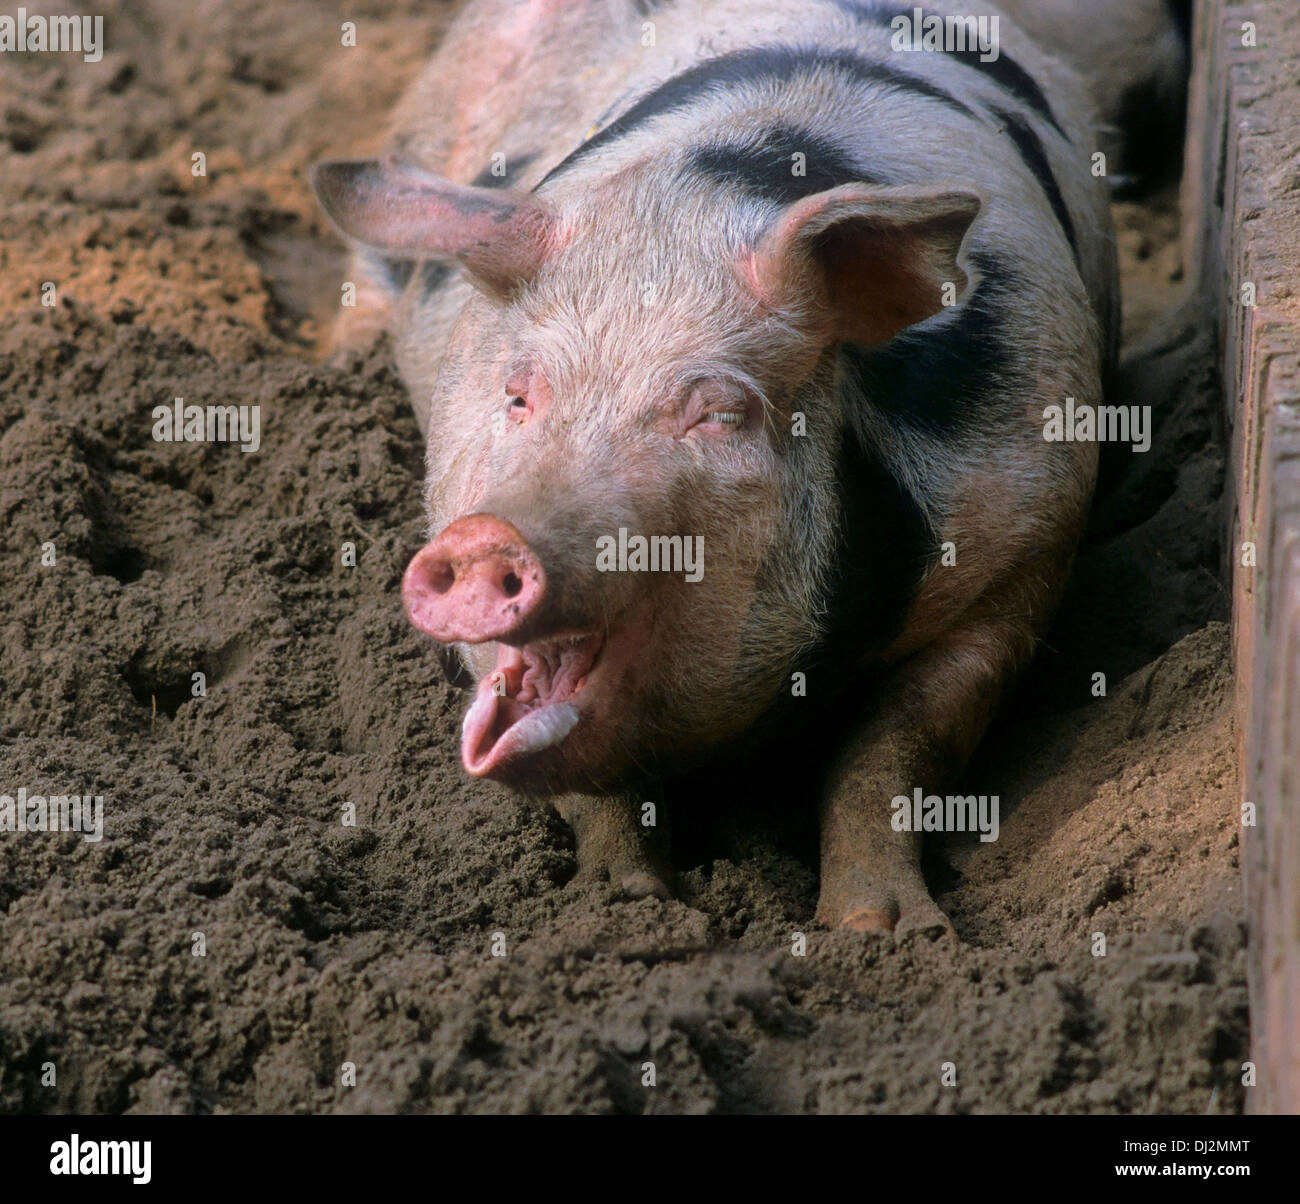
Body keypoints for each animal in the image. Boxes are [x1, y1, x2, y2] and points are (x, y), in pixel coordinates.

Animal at [312, 0, 1168, 935]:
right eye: (518, 394)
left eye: (718, 414)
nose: (483, 541)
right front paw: (628, 906)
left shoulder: (1024, 548)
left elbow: (895, 751)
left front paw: (887, 932)